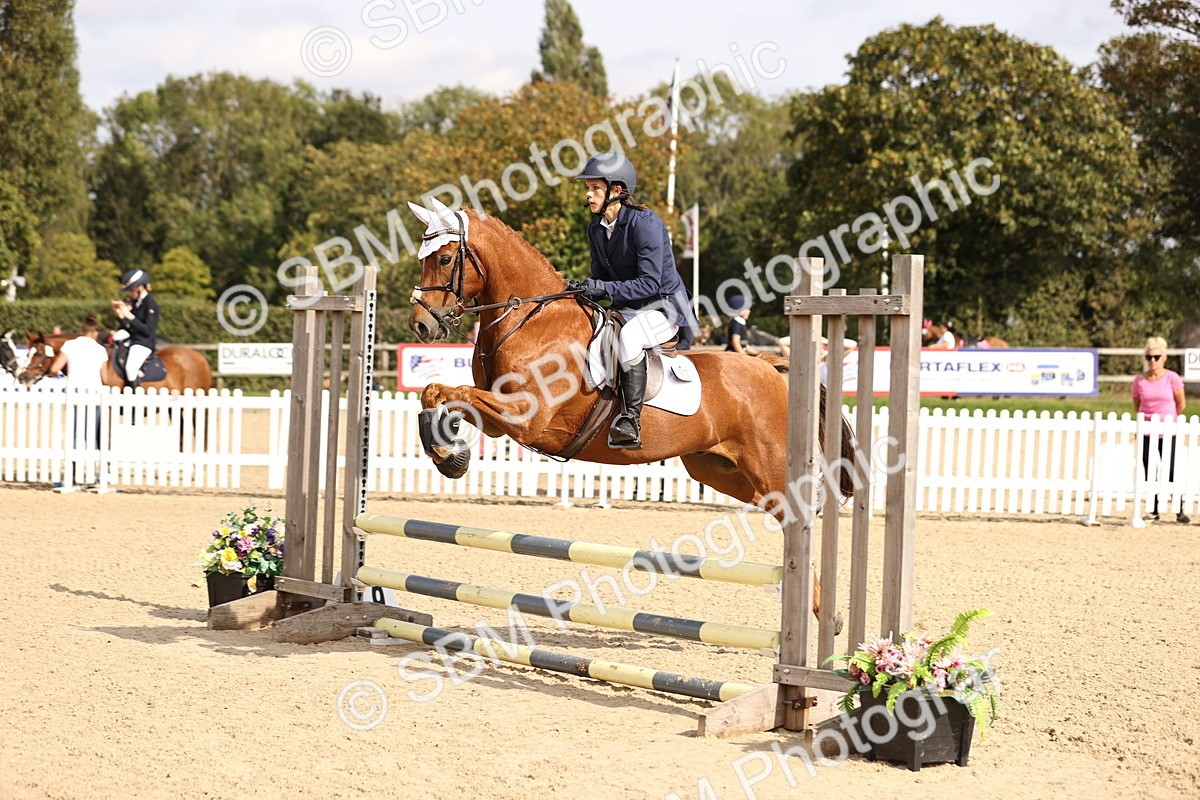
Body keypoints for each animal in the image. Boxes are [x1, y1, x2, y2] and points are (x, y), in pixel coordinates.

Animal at [405, 204, 857, 627]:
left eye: (444, 259)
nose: (421, 325)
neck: (533, 320)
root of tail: (769, 367)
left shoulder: (524, 418)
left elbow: (455, 392)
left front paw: (449, 451)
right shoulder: (501, 423)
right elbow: (436, 392)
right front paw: (448, 454)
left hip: (767, 464)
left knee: (800, 510)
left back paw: (822, 612)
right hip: (720, 470)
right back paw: (820, 608)